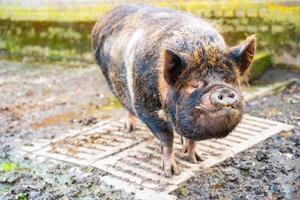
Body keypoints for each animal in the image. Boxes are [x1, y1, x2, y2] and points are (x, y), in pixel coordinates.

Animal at [91, 4, 255, 177]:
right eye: (194, 84)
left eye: (228, 80)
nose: (223, 91)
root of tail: (107, 14)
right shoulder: (146, 110)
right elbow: (167, 138)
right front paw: (171, 173)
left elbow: (191, 138)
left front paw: (196, 160)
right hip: (111, 81)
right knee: (125, 105)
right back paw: (129, 129)